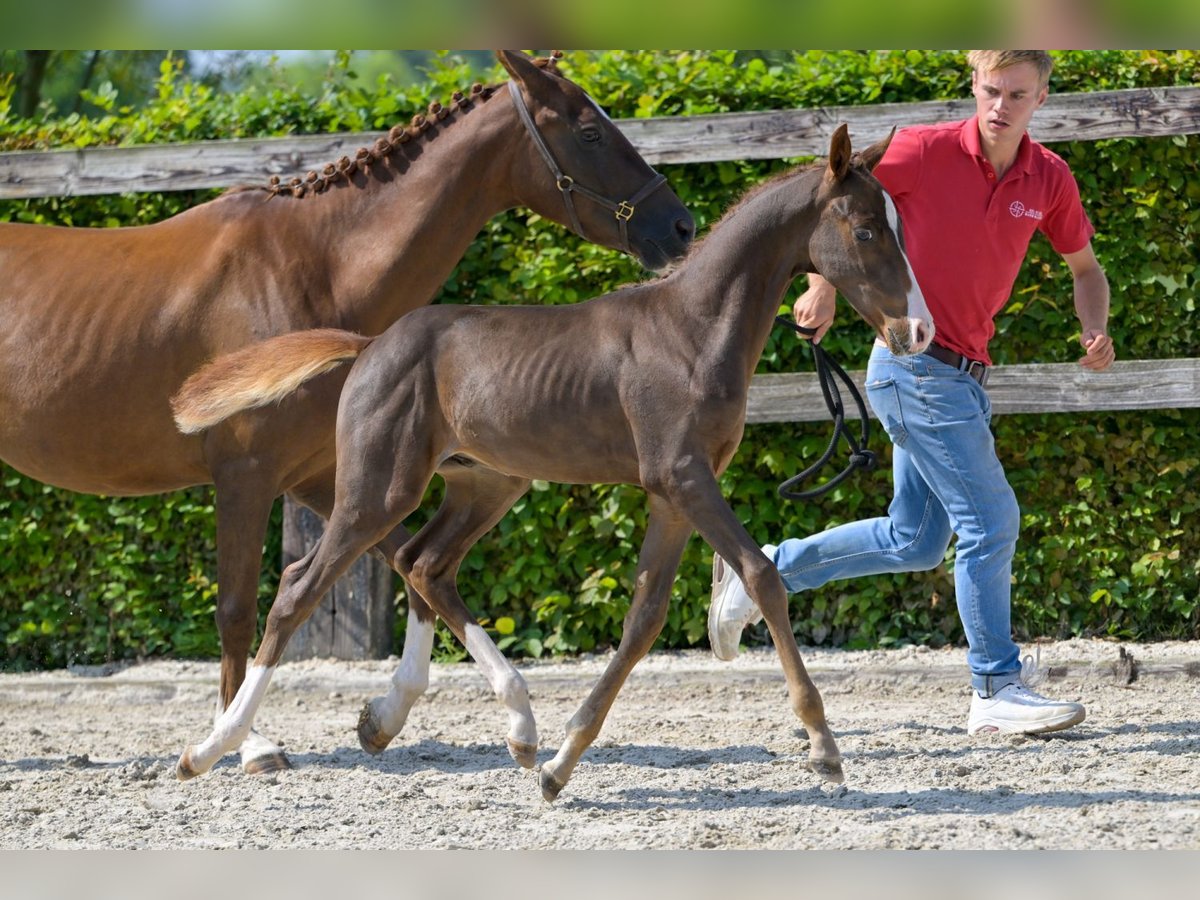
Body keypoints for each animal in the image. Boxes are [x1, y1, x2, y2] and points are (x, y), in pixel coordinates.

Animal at [0, 47, 696, 777]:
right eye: (589, 131)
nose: (681, 226)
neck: (314, 267)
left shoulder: (324, 476)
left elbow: (413, 568)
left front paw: (391, 717)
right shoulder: (247, 475)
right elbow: (239, 609)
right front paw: (246, 743)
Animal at [174, 121, 931, 801]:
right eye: (867, 230)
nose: (917, 330)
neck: (689, 330)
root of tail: (369, 346)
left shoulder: (671, 493)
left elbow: (644, 618)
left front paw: (560, 766)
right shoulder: (683, 475)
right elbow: (761, 575)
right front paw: (825, 749)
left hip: (487, 484)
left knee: (423, 563)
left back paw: (482, 726)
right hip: (377, 489)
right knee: (298, 587)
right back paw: (214, 747)